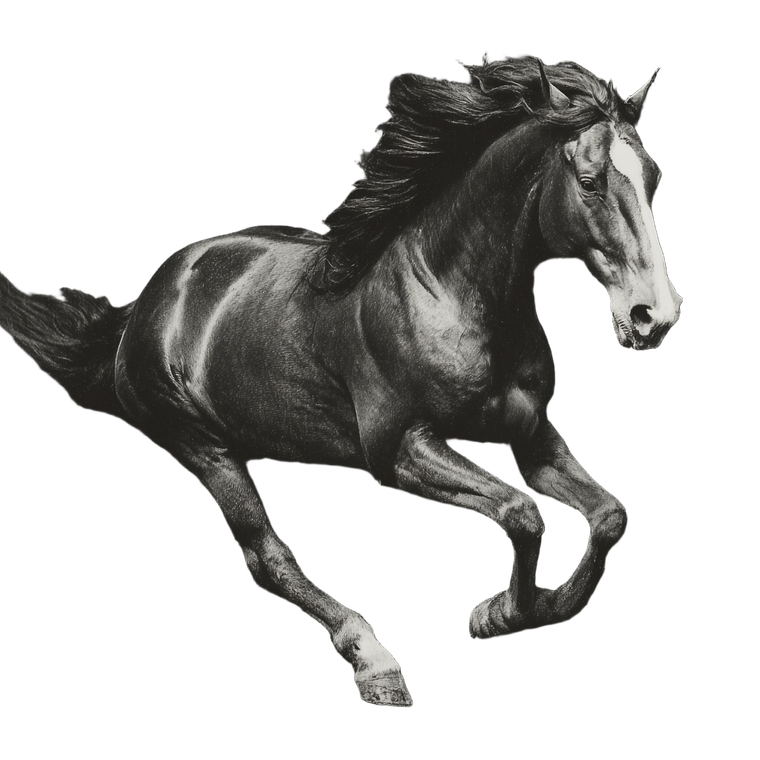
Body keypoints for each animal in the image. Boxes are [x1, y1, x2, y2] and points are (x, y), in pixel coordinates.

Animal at [0, 55, 682, 707]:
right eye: (589, 182)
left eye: (652, 176)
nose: (654, 316)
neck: (449, 291)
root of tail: (143, 309)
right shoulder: (398, 449)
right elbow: (522, 513)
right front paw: (499, 614)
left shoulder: (532, 434)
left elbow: (608, 516)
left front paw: (538, 608)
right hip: (206, 450)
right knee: (269, 559)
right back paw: (376, 665)